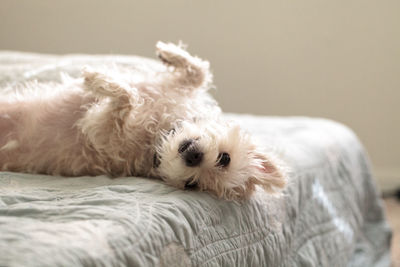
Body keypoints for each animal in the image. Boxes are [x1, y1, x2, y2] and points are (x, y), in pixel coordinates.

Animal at [0, 42, 288, 200]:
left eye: (192, 185)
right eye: (224, 158)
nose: (194, 157)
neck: (162, 133)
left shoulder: (101, 131)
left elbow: (125, 99)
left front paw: (96, 79)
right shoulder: (171, 88)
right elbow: (199, 72)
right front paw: (168, 53)